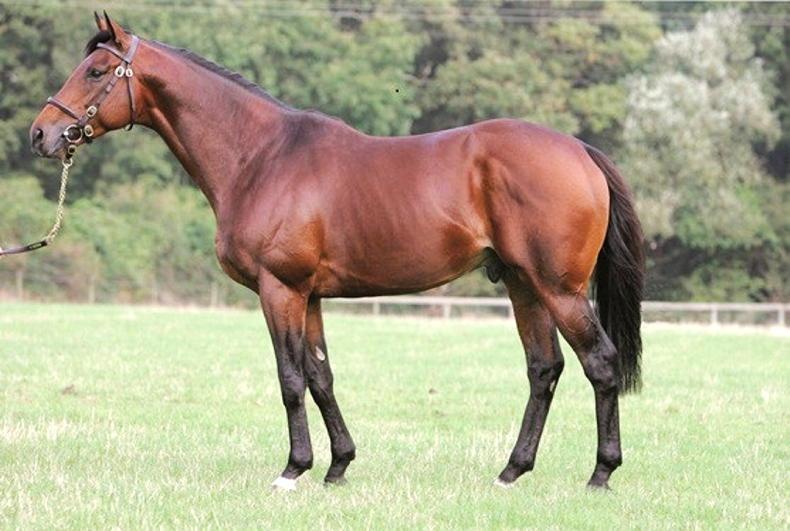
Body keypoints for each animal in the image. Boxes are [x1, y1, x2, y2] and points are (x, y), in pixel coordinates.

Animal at [29, 13, 645, 491]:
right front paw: (338, 466)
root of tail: (580, 151)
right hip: (522, 284)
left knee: (600, 363)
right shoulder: (311, 296)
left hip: (558, 288)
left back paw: (601, 473)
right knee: (544, 369)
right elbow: (321, 376)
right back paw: (512, 471)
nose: (41, 134)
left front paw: (292, 470)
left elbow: (290, 379)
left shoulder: (280, 289)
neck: (261, 157)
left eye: (96, 71)